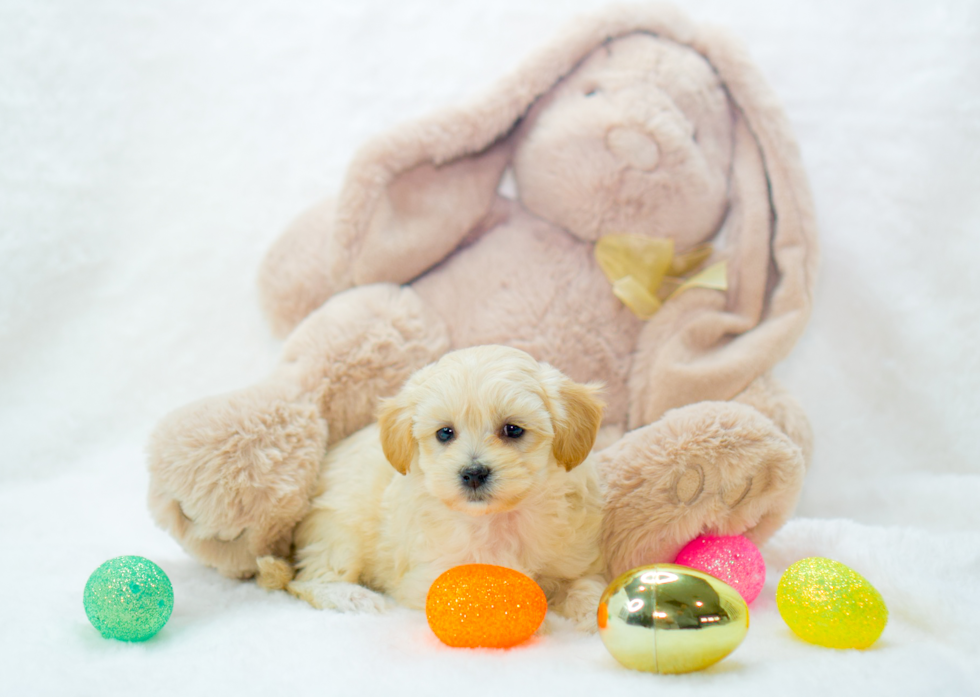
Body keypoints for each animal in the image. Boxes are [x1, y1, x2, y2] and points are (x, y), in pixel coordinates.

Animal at [264, 346, 608, 628]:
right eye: (445, 433)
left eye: (513, 429)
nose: (473, 473)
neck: (496, 519)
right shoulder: (432, 575)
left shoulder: (573, 560)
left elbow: (583, 583)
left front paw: (593, 611)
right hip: (339, 533)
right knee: (307, 580)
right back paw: (352, 598)